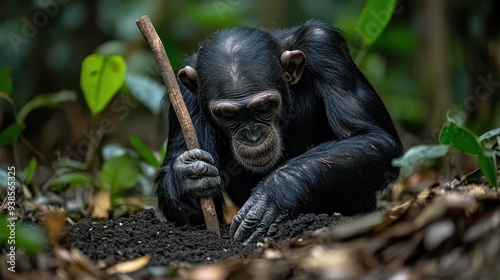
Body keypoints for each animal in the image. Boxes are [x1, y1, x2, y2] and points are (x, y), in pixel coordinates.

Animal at [155, 19, 402, 243]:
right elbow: (194, 214)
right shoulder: (182, 94)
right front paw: (186, 178)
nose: (252, 135)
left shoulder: (325, 48)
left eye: (263, 107)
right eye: (228, 115)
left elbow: (372, 136)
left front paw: (273, 193)